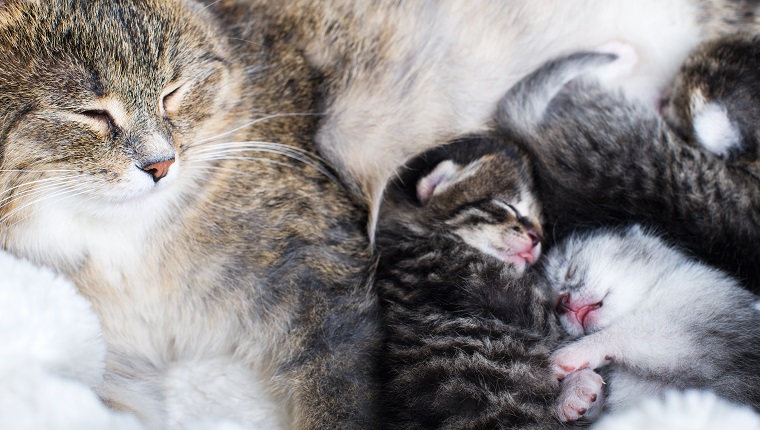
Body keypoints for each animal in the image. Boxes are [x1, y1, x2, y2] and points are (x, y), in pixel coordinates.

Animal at [536, 227, 760, 422]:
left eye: (569, 271)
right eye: (553, 301)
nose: (562, 305)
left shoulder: (688, 329)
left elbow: (622, 331)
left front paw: (567, 356)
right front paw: (576, 391)